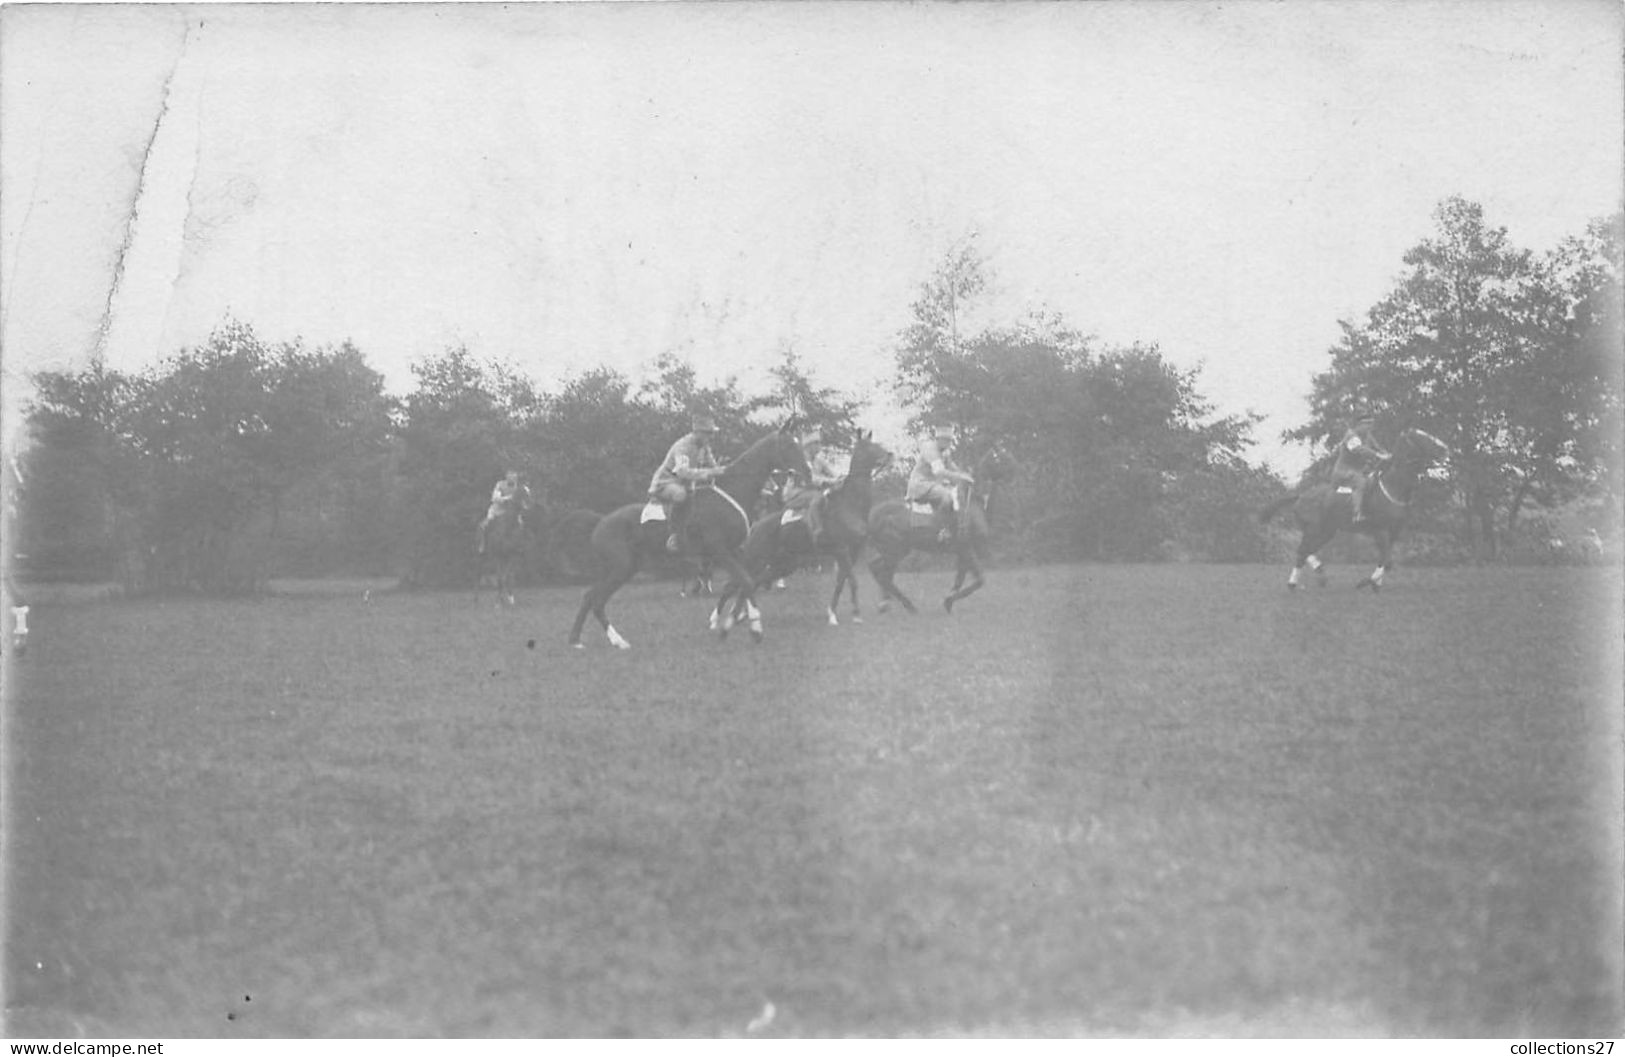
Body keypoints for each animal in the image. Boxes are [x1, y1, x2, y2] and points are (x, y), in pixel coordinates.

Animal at [568, 422, 809, 647]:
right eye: (790, 445)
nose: (807, 472)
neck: (732, 492)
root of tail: (601, 521)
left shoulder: (736, 553)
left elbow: (742, 582)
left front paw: (732, 620)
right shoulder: (720, 552)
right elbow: (746, 582)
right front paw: (749, 628)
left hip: (620, 569)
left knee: (589, 597)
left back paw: (576, 640)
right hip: (621, 568)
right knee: (597, 601)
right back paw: (618, 641)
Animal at [711, 429, 890, 634]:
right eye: (870, 446)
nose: (889, 455)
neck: (850, 504)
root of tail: (756, 525)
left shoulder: (852, 552)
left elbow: (841, 582)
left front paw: (832, 614)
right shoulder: (841, 550)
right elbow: (852, 580)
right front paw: (856, 615)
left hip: (783, 564)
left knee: (753, 582)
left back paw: (739, 615)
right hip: (755, 558)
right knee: (733, 585)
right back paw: (717, 620)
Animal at [871, 442, 1007, 608]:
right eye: (1000, 456)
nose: (1016, 466)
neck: (973, 503)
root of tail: (873, 514)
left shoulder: (963, 553)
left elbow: (959, 581)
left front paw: (949, 601)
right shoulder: (967, 550)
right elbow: (979, 580)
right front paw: (948, 601)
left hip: (893, 551)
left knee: (877, 570)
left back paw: (887, 603)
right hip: (894, 552)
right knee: (884, 576)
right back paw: (906, 605)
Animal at [1261, 429, 1456, 591]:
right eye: (1421, 437)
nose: (1446, 450)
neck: (1393, 486)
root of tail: (1301, 495)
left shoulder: (1394, 532)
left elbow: (1384, 560)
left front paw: (1375, 584)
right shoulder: (1380, 531)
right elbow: (1388, 562)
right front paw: (1366, 583)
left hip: (1326, 532)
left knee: (1306, 551)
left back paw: (1317, 575)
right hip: (1314, 530)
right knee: (1302, 551)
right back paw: (1295, 583)